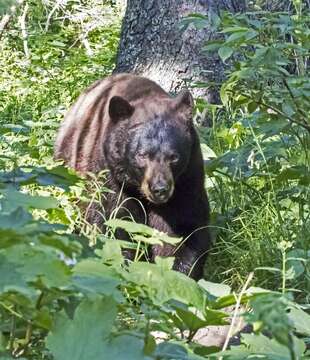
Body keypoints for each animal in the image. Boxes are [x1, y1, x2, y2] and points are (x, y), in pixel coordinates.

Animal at [55, 73, 211, 280]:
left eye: (174, 156)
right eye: (142, 155)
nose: (160, 189)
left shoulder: (187, 180)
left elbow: (184, 227)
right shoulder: (109, 178)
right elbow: (113, 225)